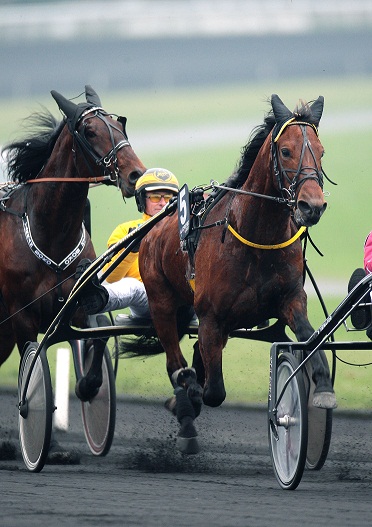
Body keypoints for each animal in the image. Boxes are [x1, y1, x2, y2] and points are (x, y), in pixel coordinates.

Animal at [0, 85, 145, 388]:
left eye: (119, 126)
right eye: (89, 131)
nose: (136, 174)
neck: (50, 237)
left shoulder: (80, 304)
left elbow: (99, 334)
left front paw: (89, 382)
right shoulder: (22, 319)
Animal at [140, 94, 338, 454]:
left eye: (321, 150)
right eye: (285, 150)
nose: (312, 206)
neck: (256, 237)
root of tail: (152, 230)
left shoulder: (290, 299)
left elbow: (309, 338)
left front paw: (323, 387)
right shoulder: (211, 316)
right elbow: (213, 392)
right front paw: (191, 396)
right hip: (161, 302)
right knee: (175, 362)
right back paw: (185, 407)